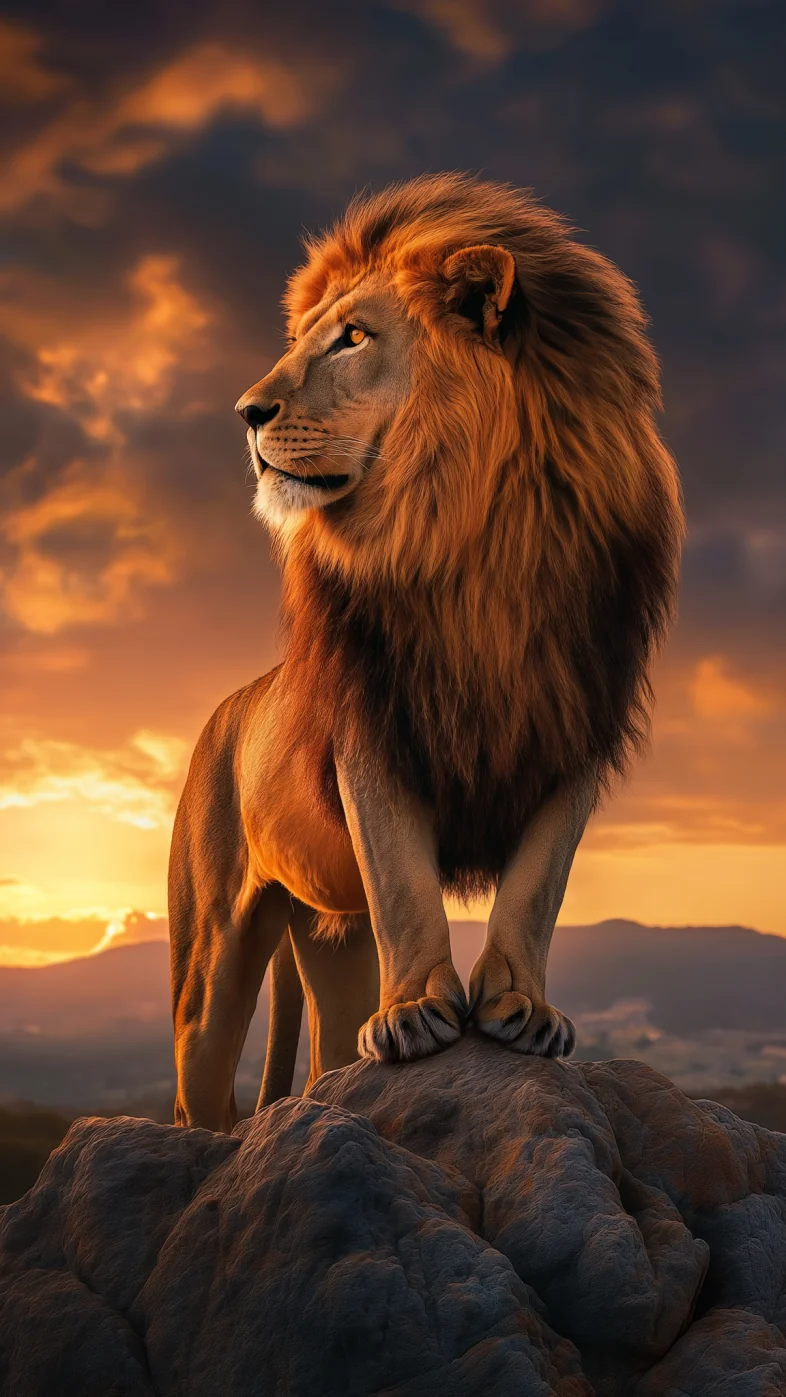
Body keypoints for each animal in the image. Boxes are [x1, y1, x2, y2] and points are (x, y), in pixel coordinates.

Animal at [169, 173, 683, 1131]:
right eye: (304, 338)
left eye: (355, 337)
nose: (246, 412)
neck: (478, 536)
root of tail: (228, 707)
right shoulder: (372, 730)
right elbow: (405, 881)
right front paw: (414, 1011)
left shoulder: (574, 727)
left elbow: (536, 885)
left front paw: (519, 1005)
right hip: (212, 953)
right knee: (201, 1081)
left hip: (326, 935)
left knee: (331, 1044)